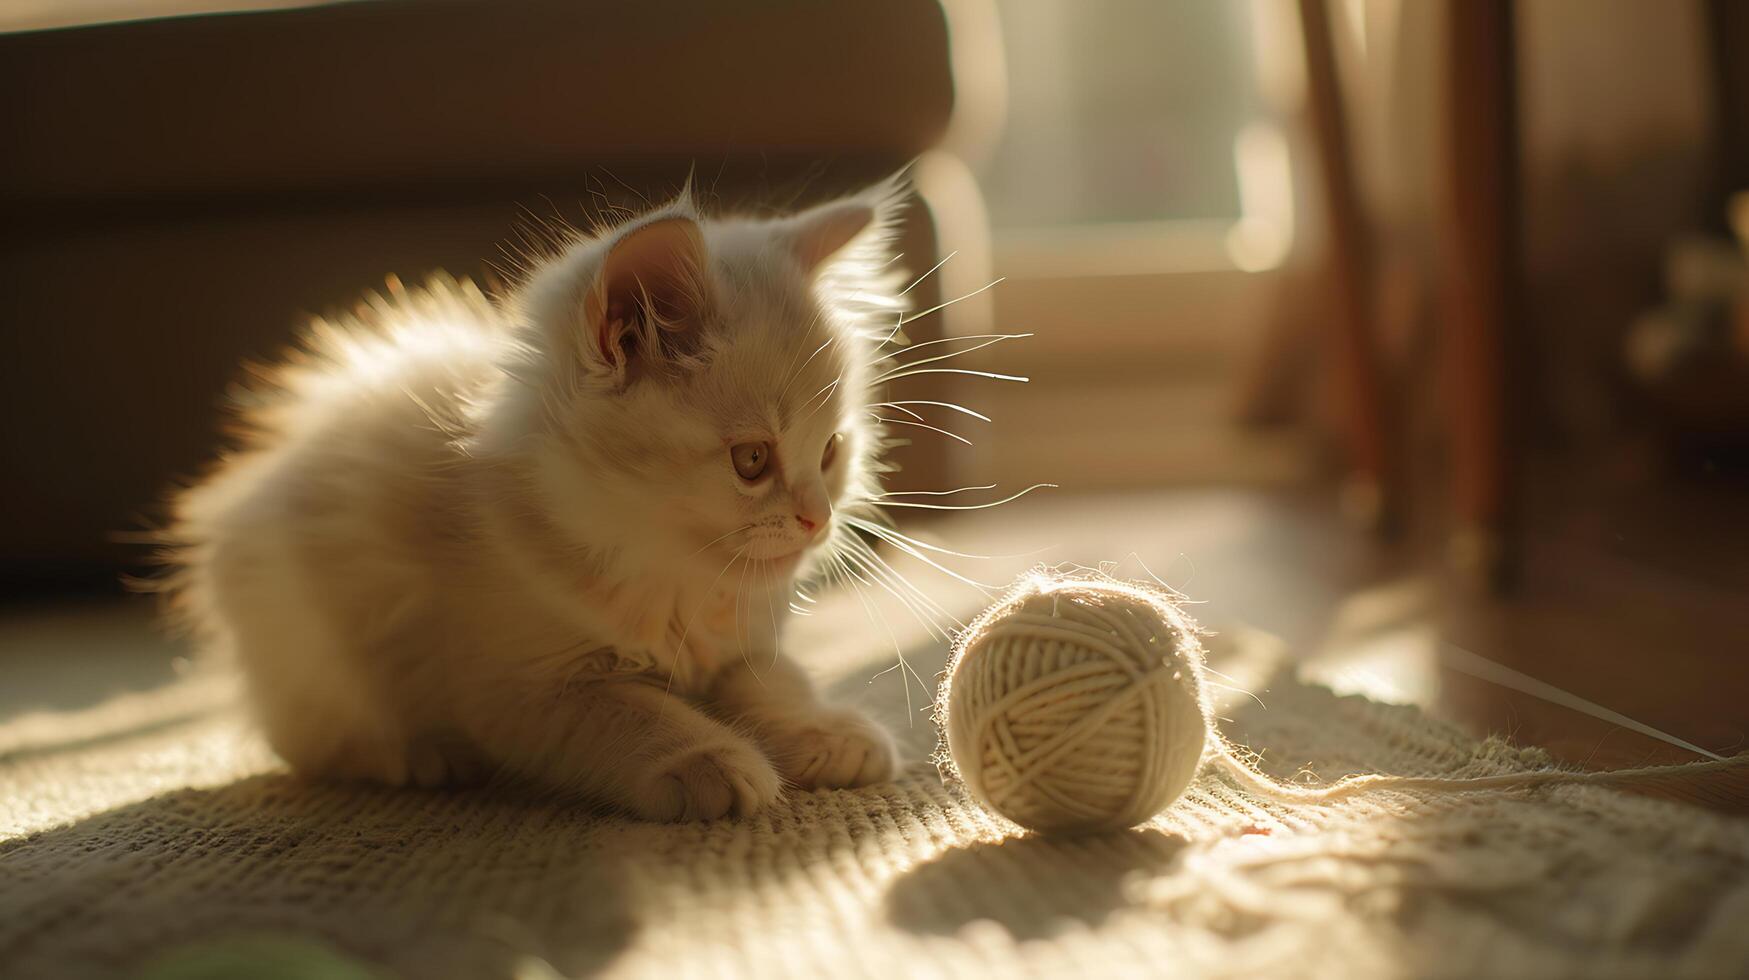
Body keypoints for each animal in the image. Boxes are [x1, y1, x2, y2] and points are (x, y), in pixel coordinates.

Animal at [164, 182, 916, 819]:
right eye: (752, 460)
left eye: (830, 450)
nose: (817, 519)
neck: (667, 576)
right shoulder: (526, 687)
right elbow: (636, 715)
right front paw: (711, 762)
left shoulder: (742, 648)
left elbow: (775, 682)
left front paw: (828, 732)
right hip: (305, 634)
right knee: (313, 741)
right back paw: (421, 756)